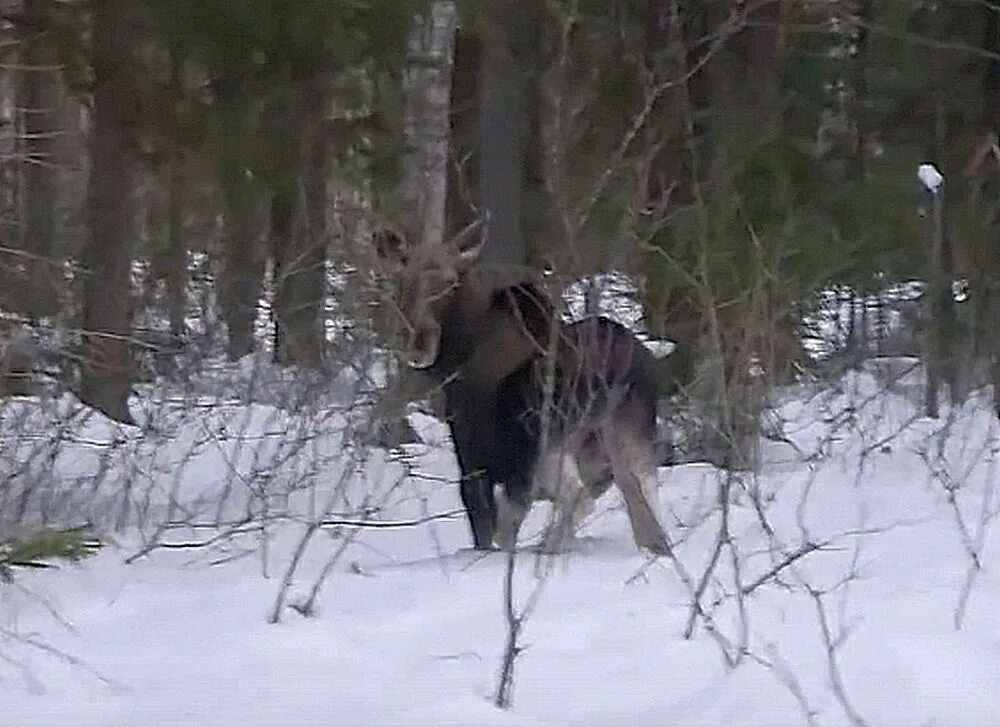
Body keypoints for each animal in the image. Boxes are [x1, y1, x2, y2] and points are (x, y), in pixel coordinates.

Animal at [378, 230, 668, 556]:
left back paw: (549, 547)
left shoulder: (478, 457)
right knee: (644, 497)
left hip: (545, 444)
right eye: (404, 280)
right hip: (629, 440)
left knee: (576, 498)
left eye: (451, 282)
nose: (419, 341)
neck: (459, 353)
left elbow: (487, 521)